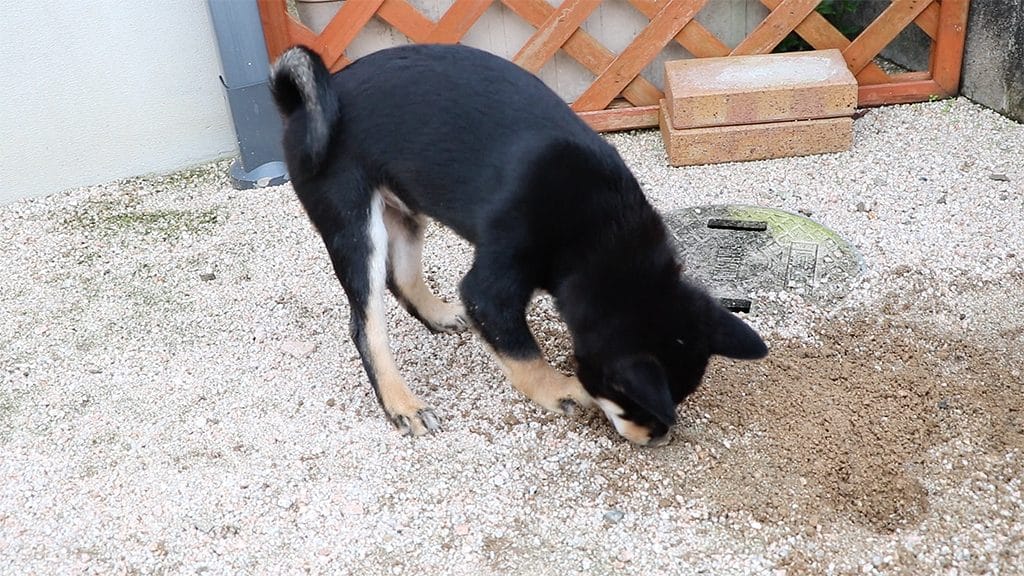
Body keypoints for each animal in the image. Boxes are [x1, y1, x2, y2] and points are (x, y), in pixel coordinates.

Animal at [268, 42, 765, 444]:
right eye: (630, 400)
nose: (659, 438)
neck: (604, 230)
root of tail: (300, 106)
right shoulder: (490, 290)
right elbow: (521, 352)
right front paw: (559, 390)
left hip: (404, 210)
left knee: (402, 278)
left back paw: (439, 315)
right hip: (353, 224)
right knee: (366, 325)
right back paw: (401, 403)